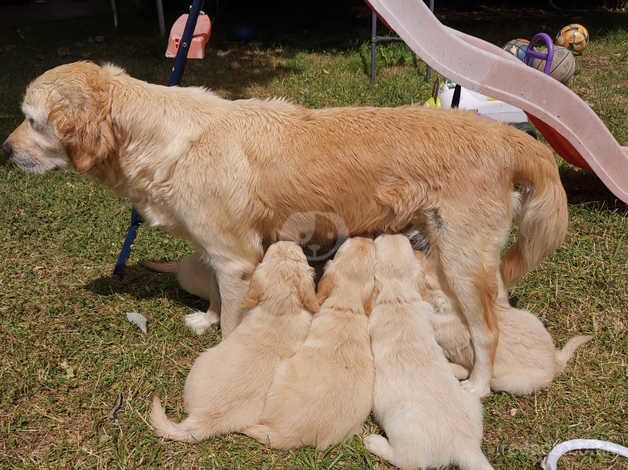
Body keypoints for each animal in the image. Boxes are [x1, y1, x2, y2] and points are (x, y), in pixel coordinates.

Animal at [3, 61, 568, 392]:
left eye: (31, 120)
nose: (5, 150)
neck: (164, 138)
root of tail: (512, 138)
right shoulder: (223, 252)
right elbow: (216, 295)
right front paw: (205, 319)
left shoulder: (236, 257)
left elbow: (233, 320)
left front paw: (224, 350)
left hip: (464, 260)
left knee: (487, 331)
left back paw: (476, 386)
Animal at [366, 235, 494, 470]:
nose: (390, 234)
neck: (399, 298)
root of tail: (464, 444)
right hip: (473, 403)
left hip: (403, 432)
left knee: (408, 461)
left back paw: (374, 442)